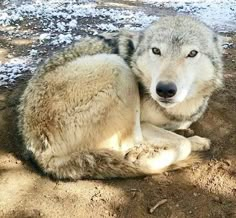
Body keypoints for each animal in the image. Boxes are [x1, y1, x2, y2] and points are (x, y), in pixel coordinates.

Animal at [18, 16, 223, 180]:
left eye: (192, 53)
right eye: (156, 51)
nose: (165, 89)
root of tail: (41, 155)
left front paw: (189, 137)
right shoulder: (145, 122)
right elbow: (180, 143)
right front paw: (151, 152)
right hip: (115, 66)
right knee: (130, 145)